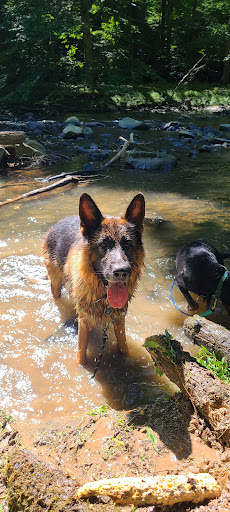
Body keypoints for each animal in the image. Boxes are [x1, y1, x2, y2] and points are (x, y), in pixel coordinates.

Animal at [42, 192, 145, 364]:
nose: (121, 272)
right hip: (55, 285)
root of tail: (59, 222)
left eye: (127, 244)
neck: (103, 297)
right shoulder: (84, 322)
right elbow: (81, 356)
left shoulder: (119, 321)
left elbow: (124, 348)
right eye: (103, 245)